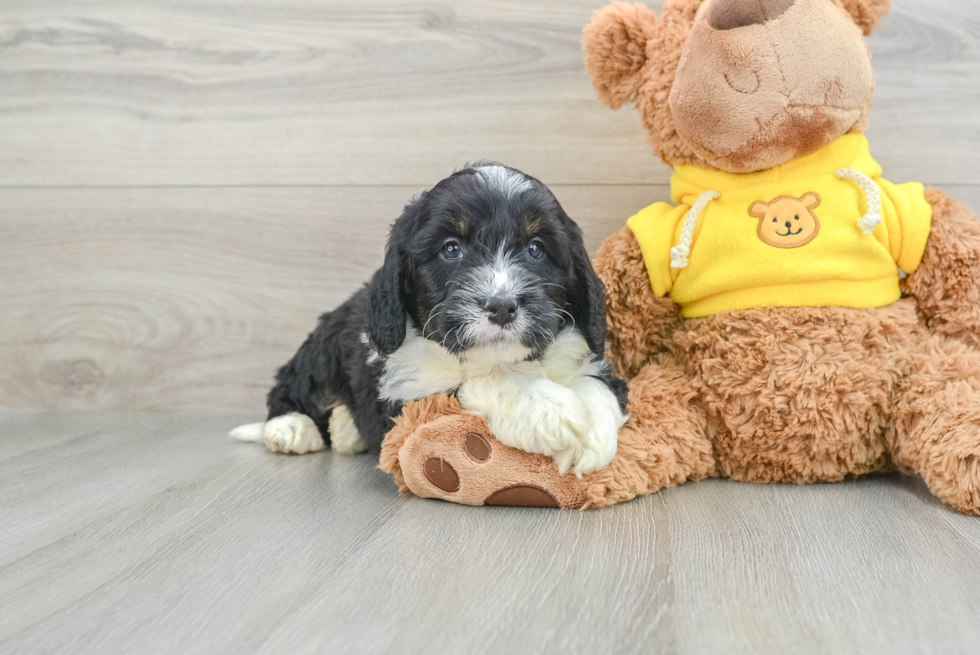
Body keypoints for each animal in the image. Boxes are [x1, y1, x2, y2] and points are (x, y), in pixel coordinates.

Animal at [230, 162, 628, 474]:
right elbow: (472, 384)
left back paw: (345, 429)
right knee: (290, 385)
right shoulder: (406, 400)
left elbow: (601, 386)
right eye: (451, 249)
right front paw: (548, 409)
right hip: (324, 349)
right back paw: (290, 428)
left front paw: (594, 434)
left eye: (535, 249)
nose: (501, 306)